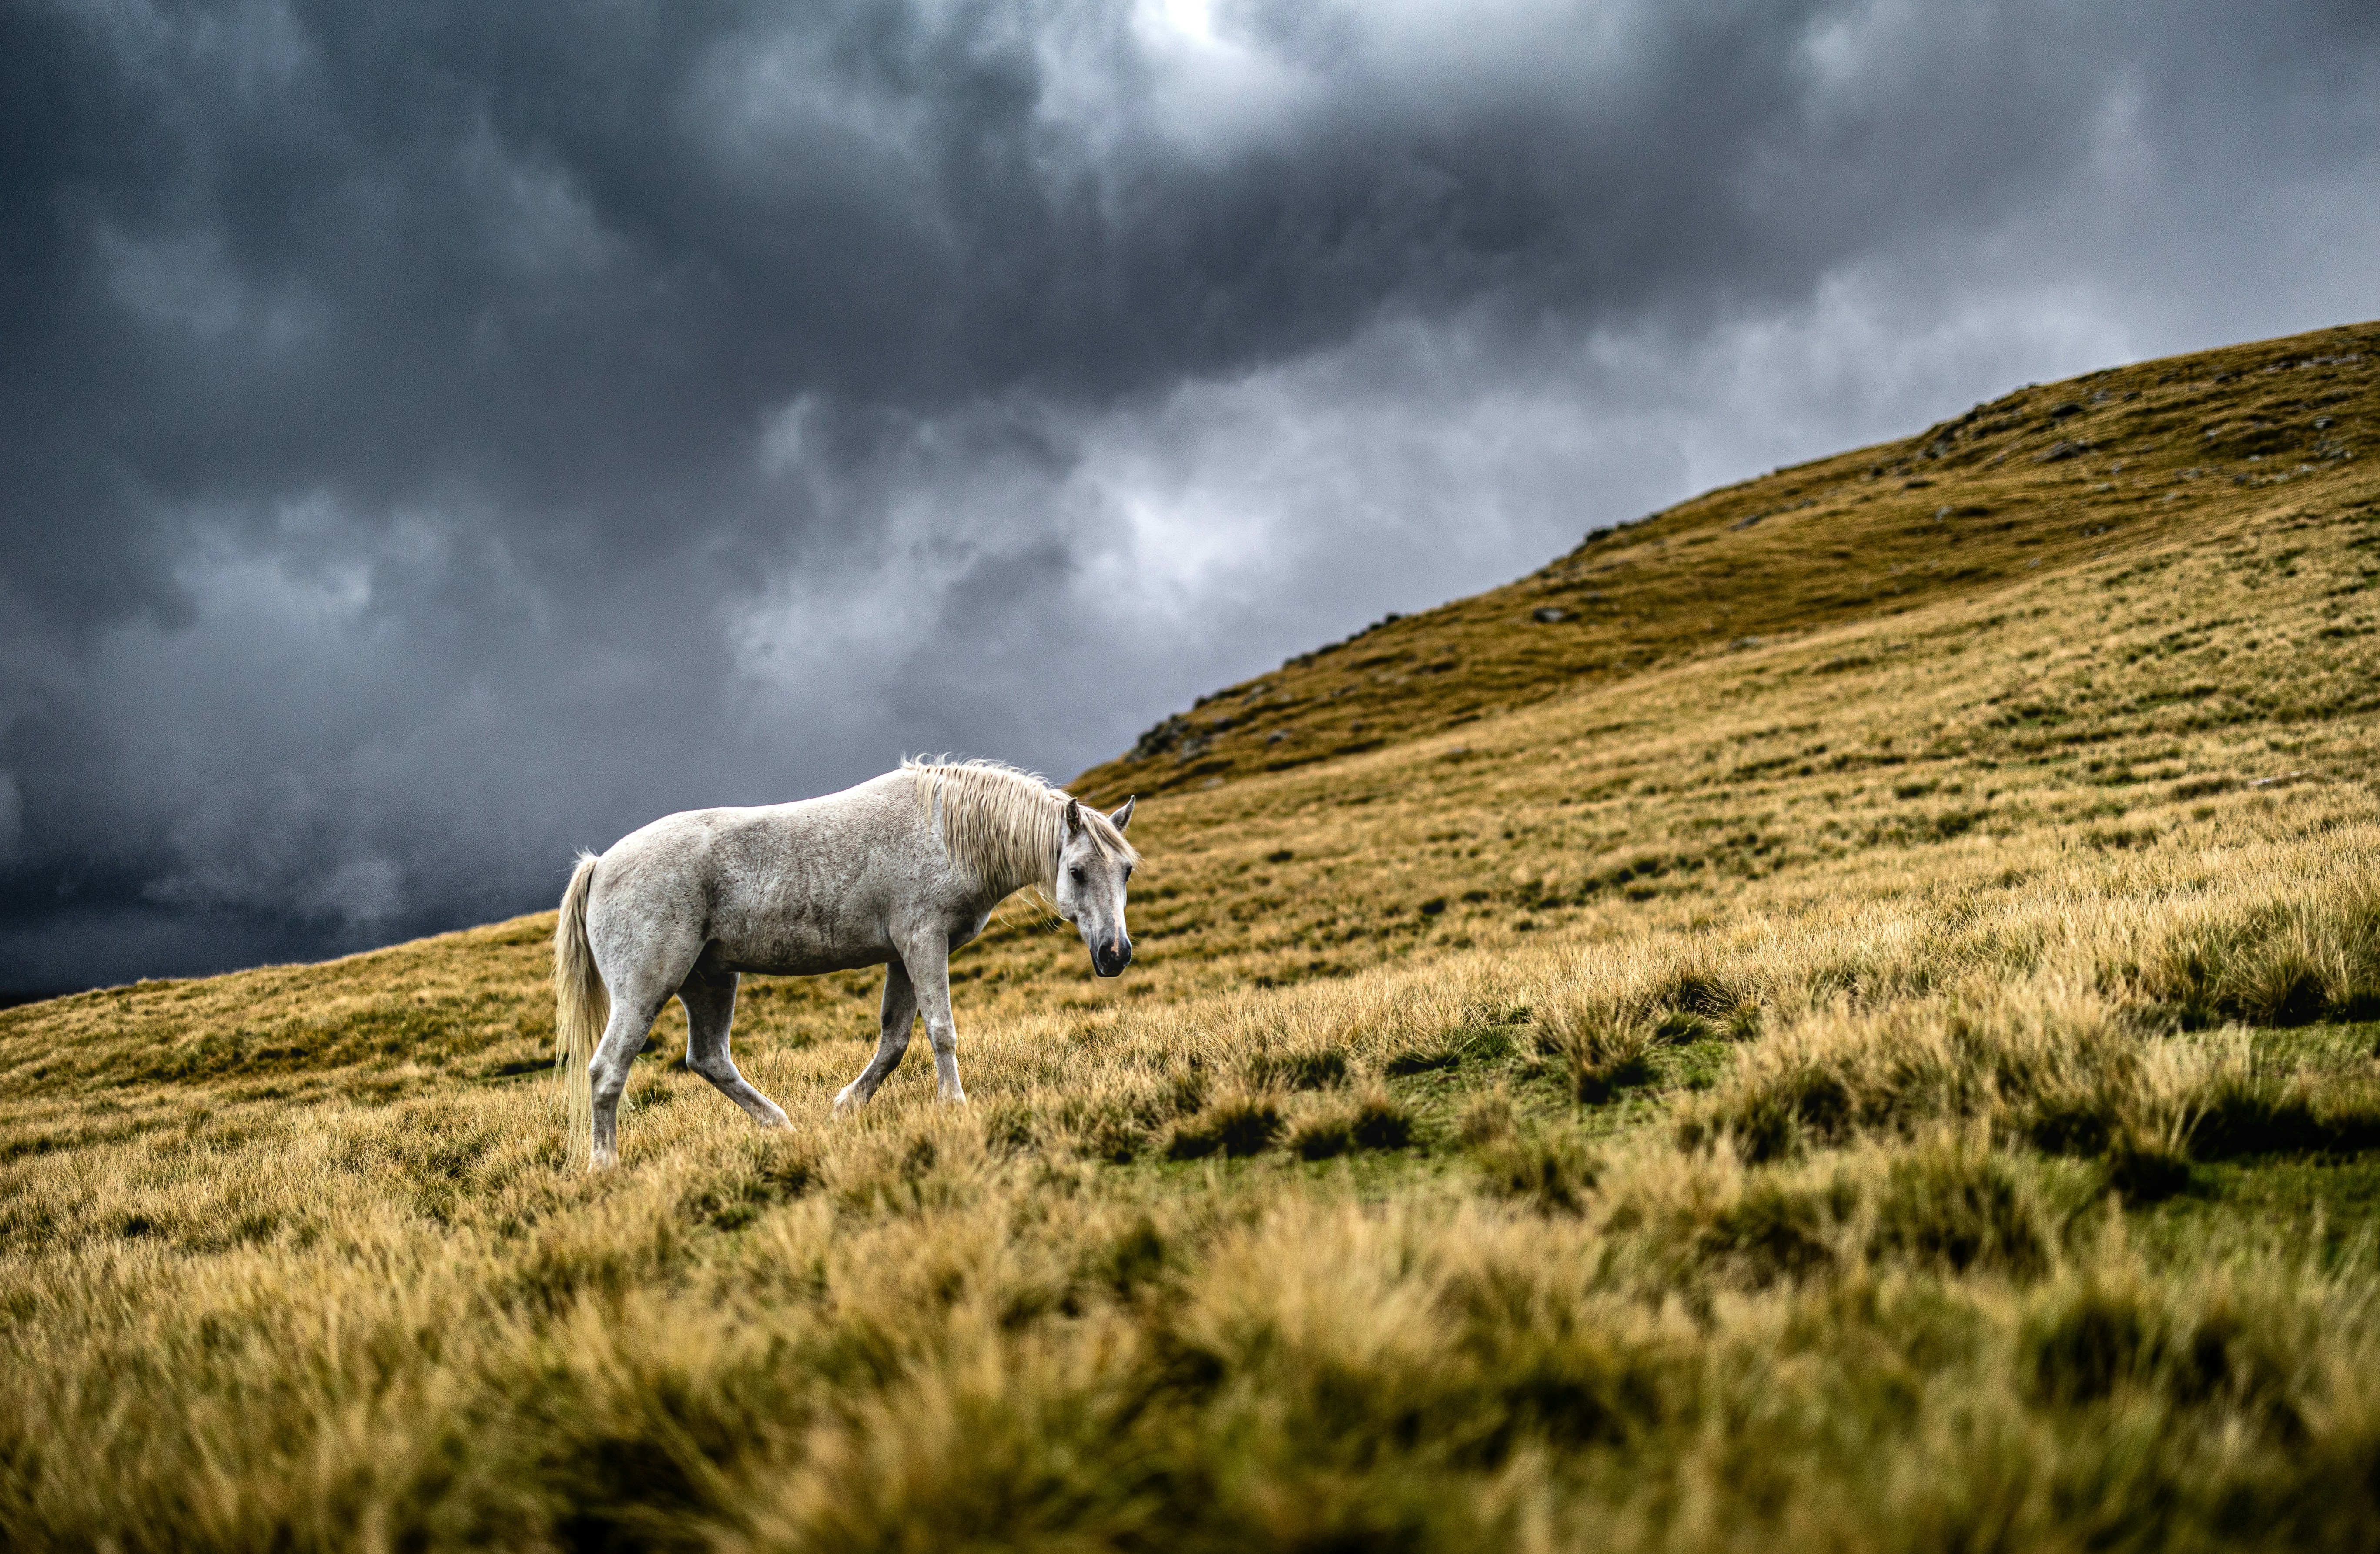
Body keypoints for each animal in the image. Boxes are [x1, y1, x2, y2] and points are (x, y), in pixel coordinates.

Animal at [552, 758, 1138, 1168]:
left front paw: (847, 1107)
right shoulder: (923, 942)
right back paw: (604, 1166)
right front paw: (954, 1106)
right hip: (646, 989)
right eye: (1077, 871)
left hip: (710, 980)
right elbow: (941, 1030)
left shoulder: (904, 956)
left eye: (1127, 870)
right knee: (607, 1069)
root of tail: (600, 865)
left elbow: (895, 1040)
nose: (1115, 955)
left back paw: (782, 1128)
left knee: (708, 1059)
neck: (945, 832)